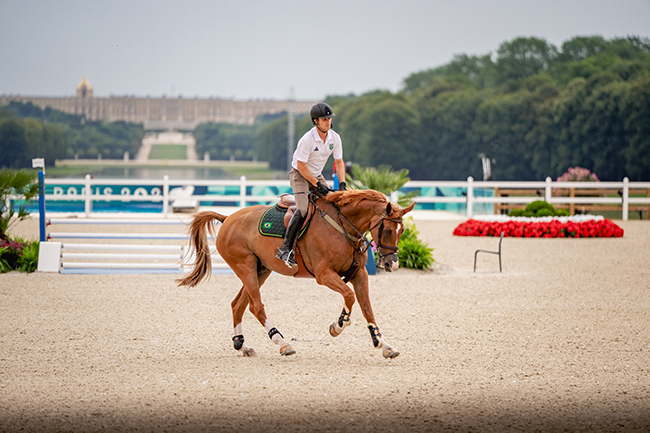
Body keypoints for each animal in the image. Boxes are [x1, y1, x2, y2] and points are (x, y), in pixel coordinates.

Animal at [175, 189, 412, 358]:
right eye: (387, 230)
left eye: (401, 231)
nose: (392, 264)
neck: (343, 226)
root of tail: (228, 218)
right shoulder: (324, 274)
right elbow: (349, 296)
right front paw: (339, 325)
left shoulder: (359, 274)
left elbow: (367, 307)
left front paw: (384, 344)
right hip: (245, 266)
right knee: (255, 306)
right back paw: (282, 342)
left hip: (261, 269)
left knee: (238, 305)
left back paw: (242, 345)